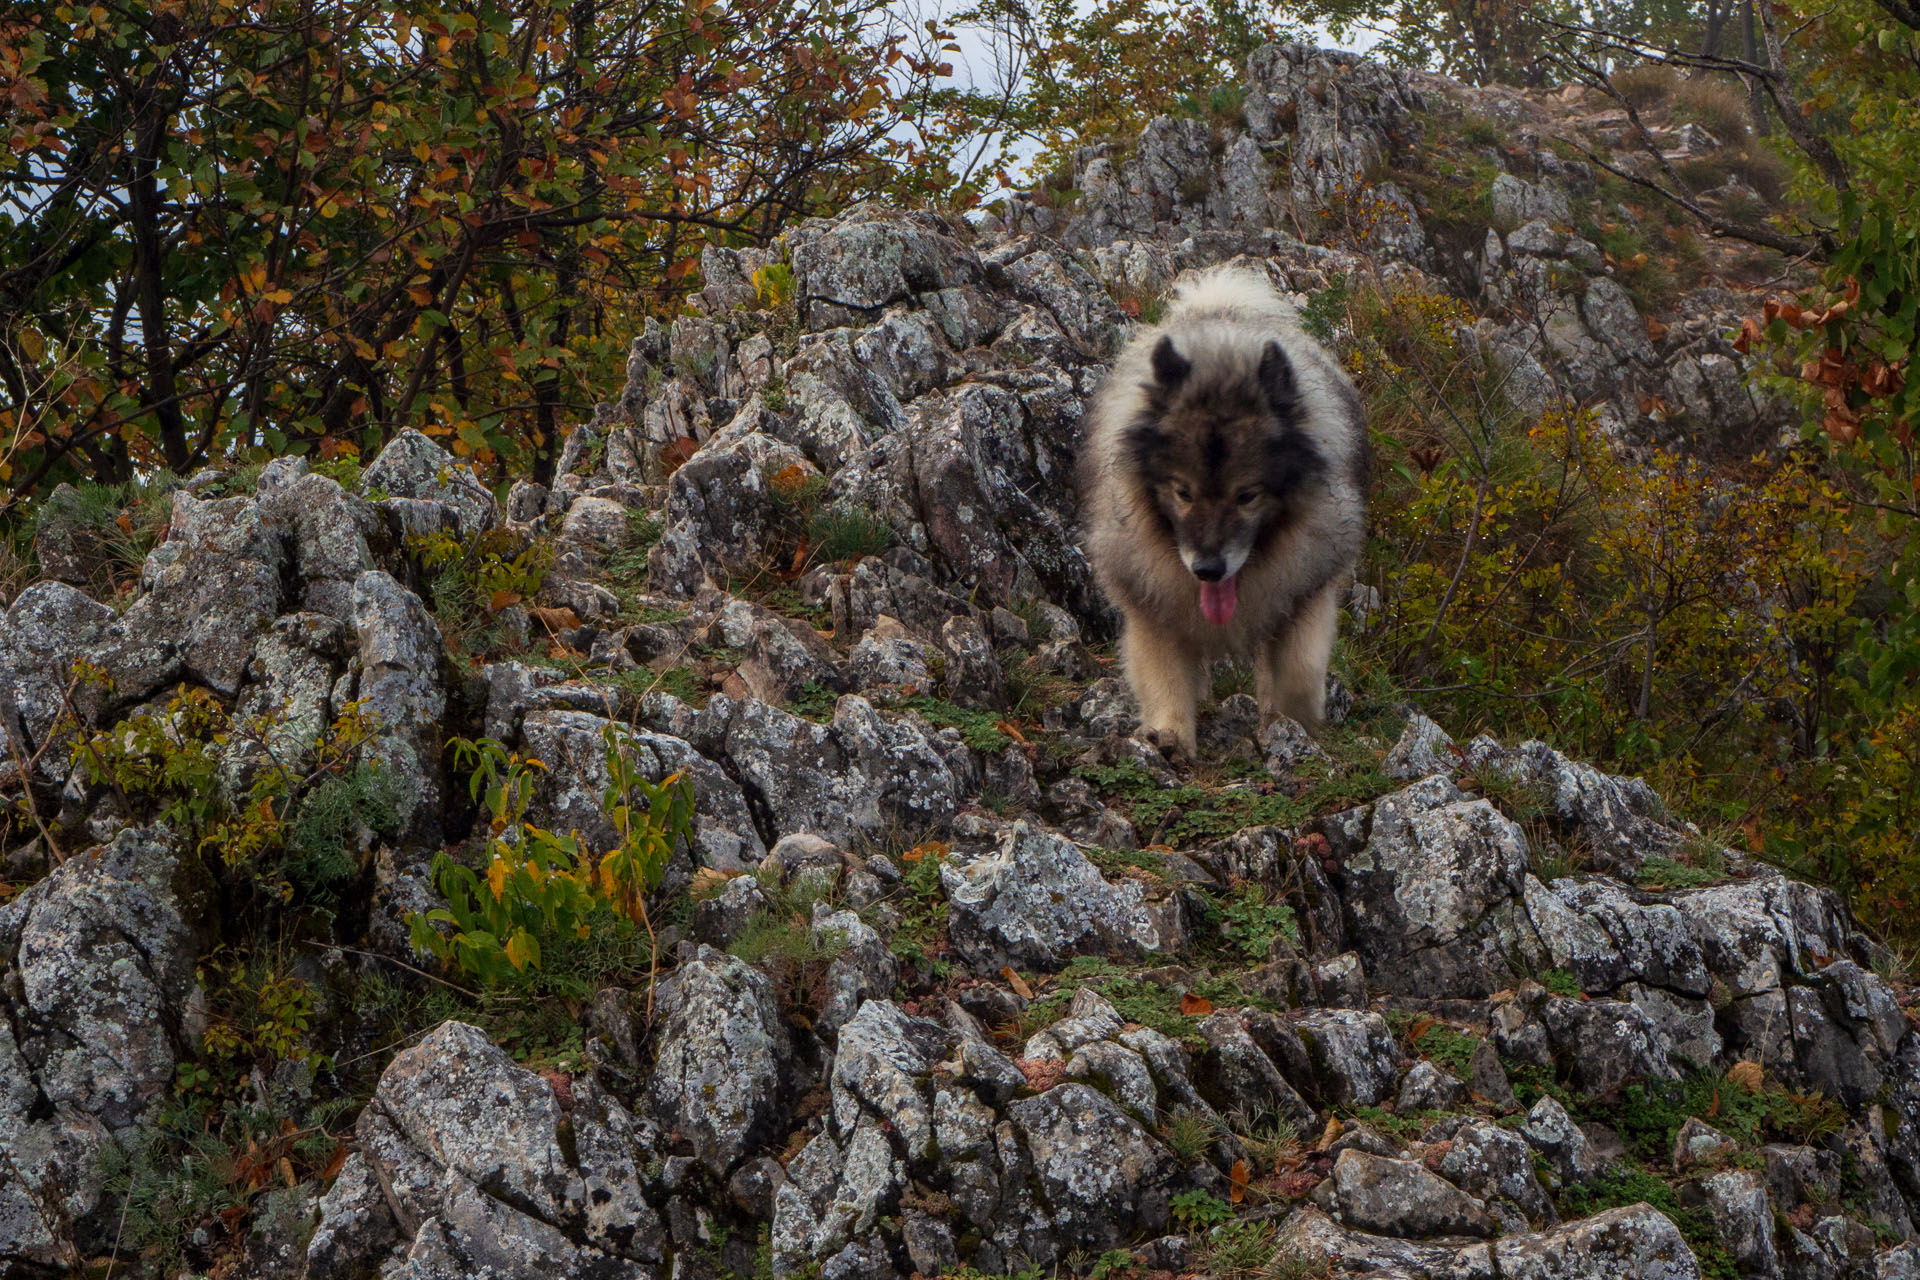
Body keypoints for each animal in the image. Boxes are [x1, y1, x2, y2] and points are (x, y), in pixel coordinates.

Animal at [1082, 264, 1367, 756]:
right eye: (1183, 492)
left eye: (1247, 495)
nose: (1208, 569)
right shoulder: (1152, 599)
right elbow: (1165, 675)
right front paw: (1169, 738)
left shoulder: (1303, 592)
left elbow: (1297, 672)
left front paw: (1291, 729)